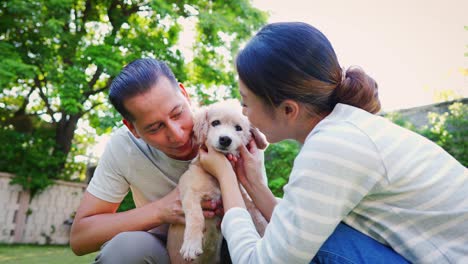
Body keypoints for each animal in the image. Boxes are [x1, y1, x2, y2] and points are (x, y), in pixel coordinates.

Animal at [167, 99, 266, 264]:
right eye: (215, 123)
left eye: (238, 128)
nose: (225, 139)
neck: (217, 177)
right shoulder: (190, 193)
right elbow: (196, 217)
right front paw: (191, 245)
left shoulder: (242, 199)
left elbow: (257, 215)